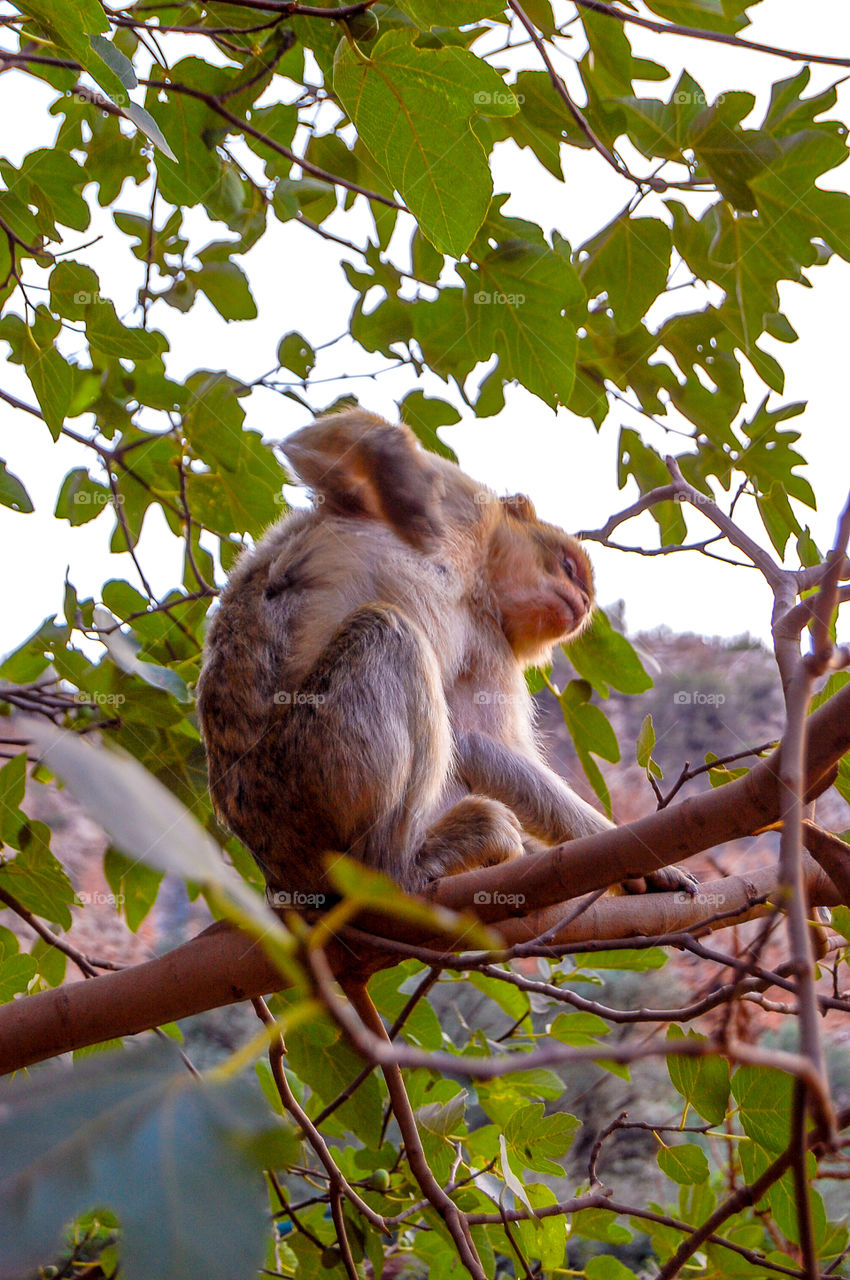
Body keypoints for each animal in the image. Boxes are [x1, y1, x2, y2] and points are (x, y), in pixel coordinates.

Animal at [196, 409, 697, 903]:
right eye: (568, 567)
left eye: (585, 597)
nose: (579, 603)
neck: (477, 579)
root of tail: (277, 872)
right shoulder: (465, 500)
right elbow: (319, 445)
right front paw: (405, 485)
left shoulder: (489, 643)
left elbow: (478, 743)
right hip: (300, 780)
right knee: (388, 632)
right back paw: (398, 865)